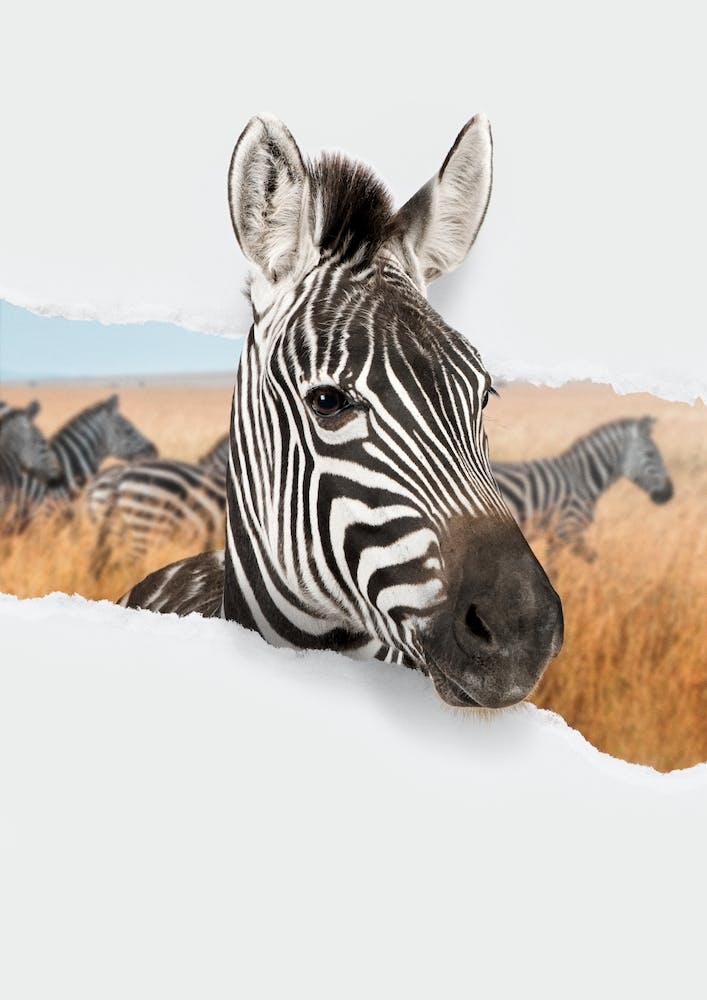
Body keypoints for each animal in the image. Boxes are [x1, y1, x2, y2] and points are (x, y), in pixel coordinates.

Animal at [492, 417, 673, 565]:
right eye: (650, 454)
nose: (669, 494)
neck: (582, 479)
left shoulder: (556, 535)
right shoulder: (566, 530)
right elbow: (590, 561)